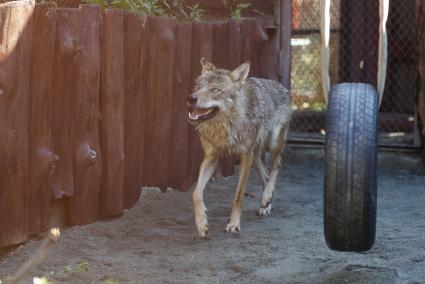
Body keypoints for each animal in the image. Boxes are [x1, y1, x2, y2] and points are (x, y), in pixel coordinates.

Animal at [188, 57, 292, 237]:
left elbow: (238, 196)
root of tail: (281, 86)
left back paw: (267, 197)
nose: (191, 98)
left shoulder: (245, 157)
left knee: (278, 164)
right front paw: (201, 223)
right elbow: (196, 193)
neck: (225, 126)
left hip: (271, 144)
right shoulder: (211, 158)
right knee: (266, 175)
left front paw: (233, 224)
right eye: (198, 86)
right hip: (255, 156)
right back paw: (266, 204)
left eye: (215, 90)